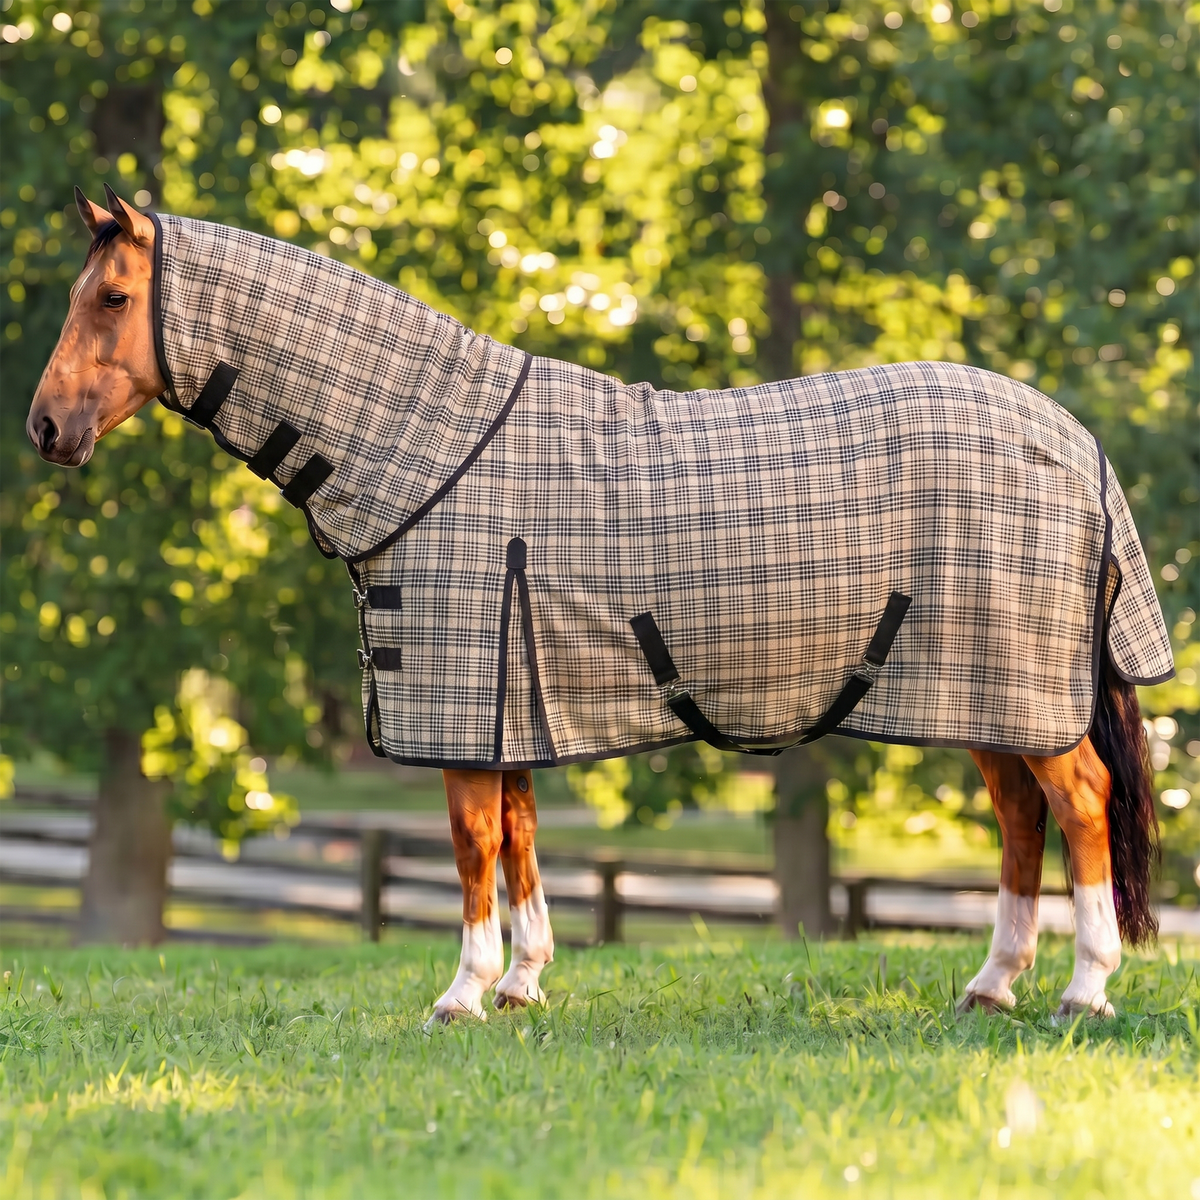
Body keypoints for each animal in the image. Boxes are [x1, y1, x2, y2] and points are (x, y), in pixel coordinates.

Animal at [28, 187, 1172, 1023]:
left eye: (112, 300)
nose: (43, 428)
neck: (433, 452)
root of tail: (1075, 442)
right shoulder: (513, 699)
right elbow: (524, 838)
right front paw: (524, 982)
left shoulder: (465, 695)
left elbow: (472, 846)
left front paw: (463, 994)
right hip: (984, 693)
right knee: (1022, 813)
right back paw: (992, 985)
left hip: (1018, 683)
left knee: (1079, 802)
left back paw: (1084, 990)